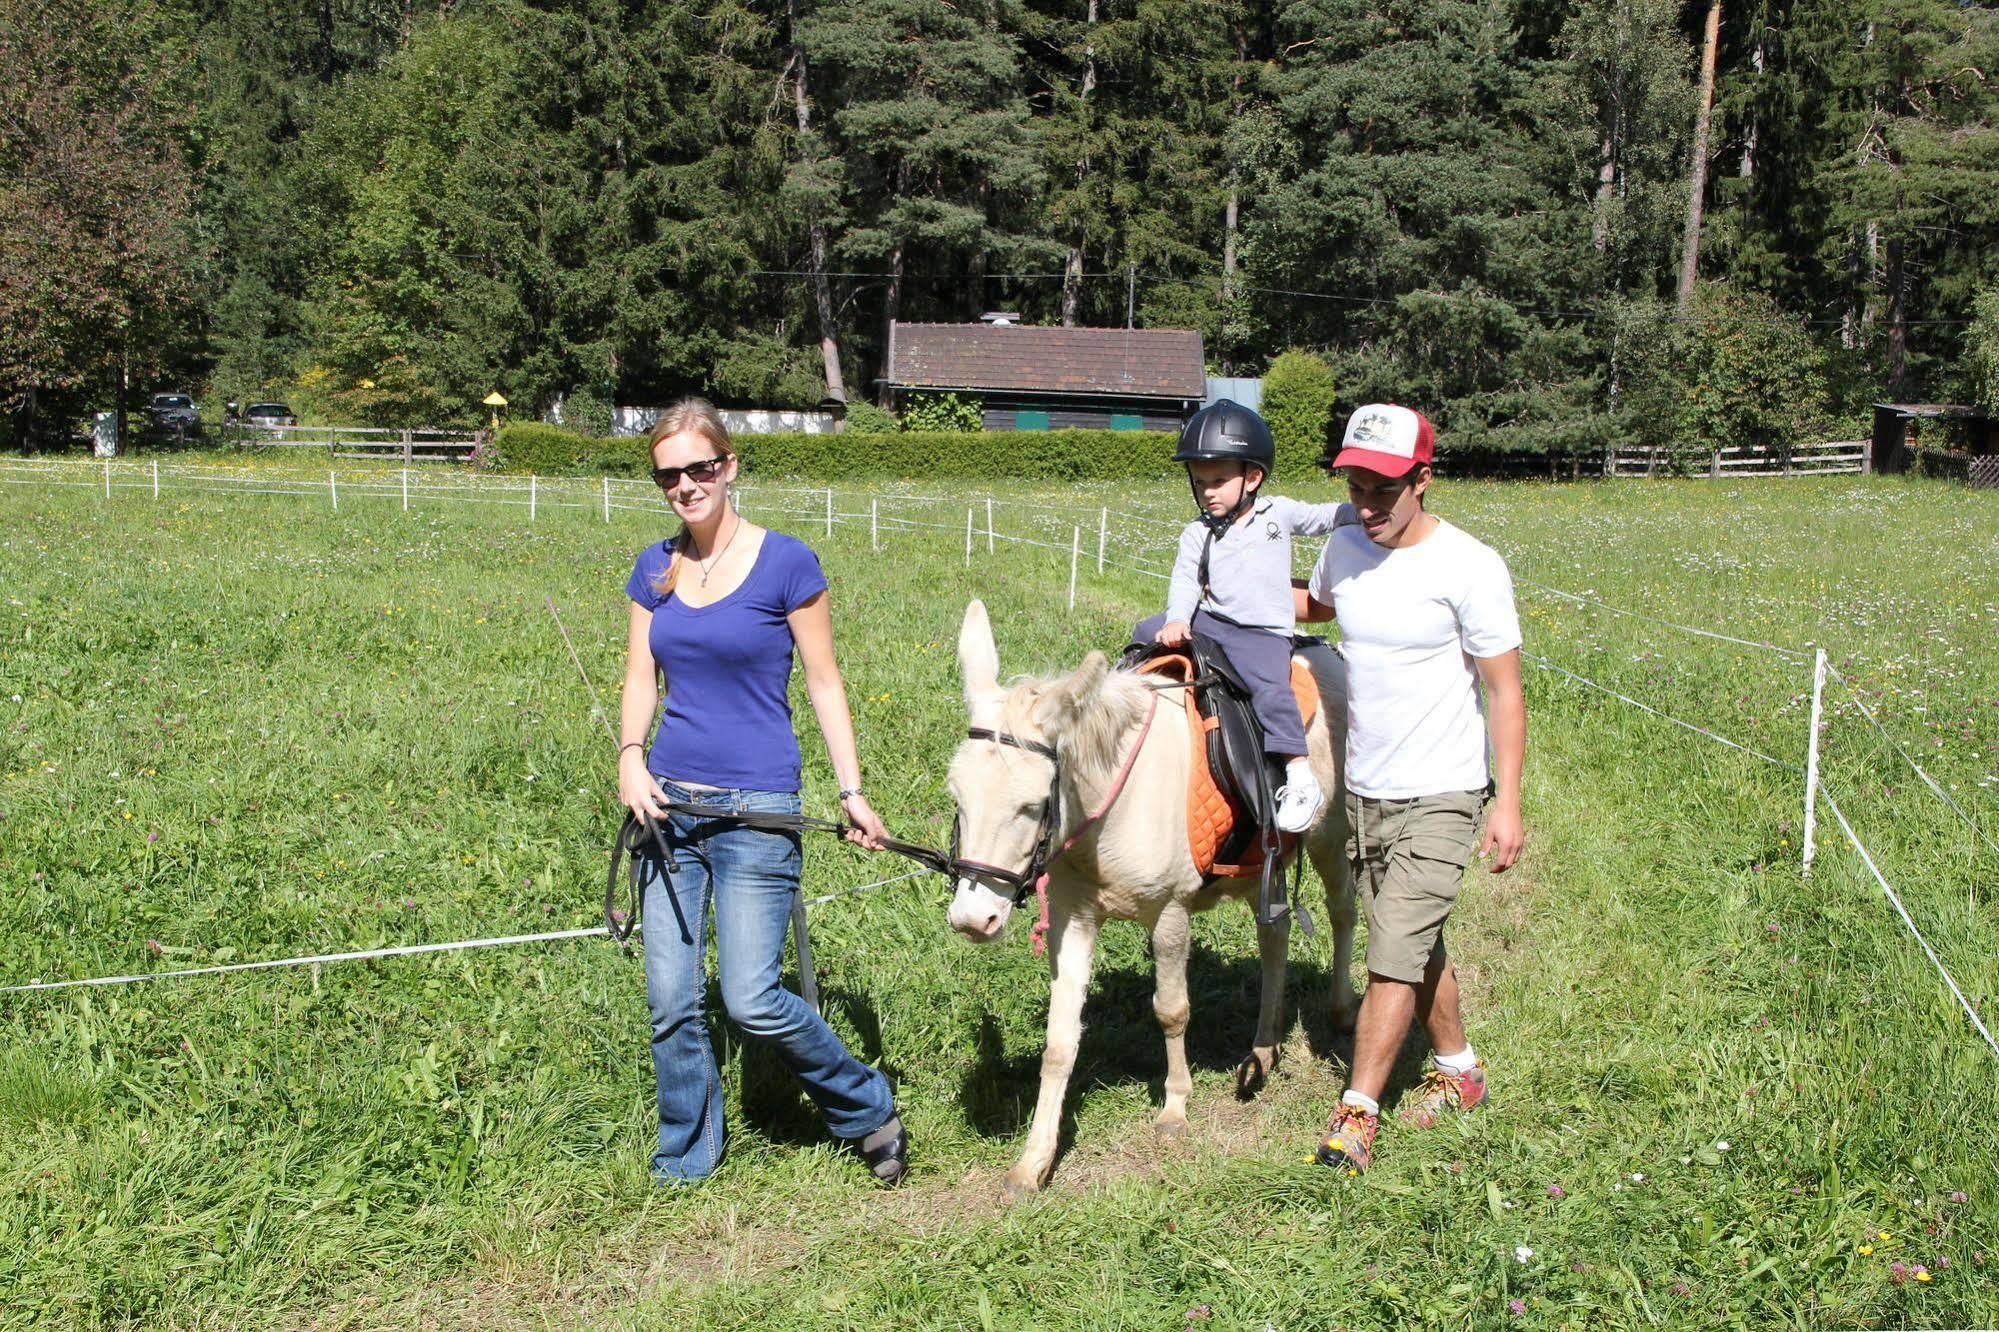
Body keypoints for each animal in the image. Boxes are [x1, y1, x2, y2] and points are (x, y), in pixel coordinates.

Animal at [947, 596, 1359, 1184]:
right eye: (956, 796)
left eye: (1032, 804)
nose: (972, 920)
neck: (1114, 802)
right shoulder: (1073, 919)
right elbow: (1060, 1039)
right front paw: (1034, 1160)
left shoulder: (1170, 914)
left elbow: (1171, 1009)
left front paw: (1175, 1108)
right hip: (1268, 864)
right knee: (1274, 938)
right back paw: (1263, 1049)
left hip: (1328, 835)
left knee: (1343, 910)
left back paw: (1342, 1010)